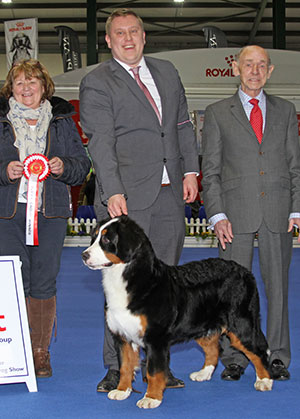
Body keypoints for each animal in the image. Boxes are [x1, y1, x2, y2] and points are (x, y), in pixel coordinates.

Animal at [81, 217, 272, 410]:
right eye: (94, 236)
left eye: (106, 240)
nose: (84, 255)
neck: (130, 278)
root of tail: (245, 271)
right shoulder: (123, 336)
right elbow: (125, 366)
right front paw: (122, 390)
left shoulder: (155, 339)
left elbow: (154, 371)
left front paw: (151, 398)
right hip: (201, 325)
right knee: (213, 349)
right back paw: (203, 373)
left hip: (241, 325)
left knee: (259, 351)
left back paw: (264, 381)